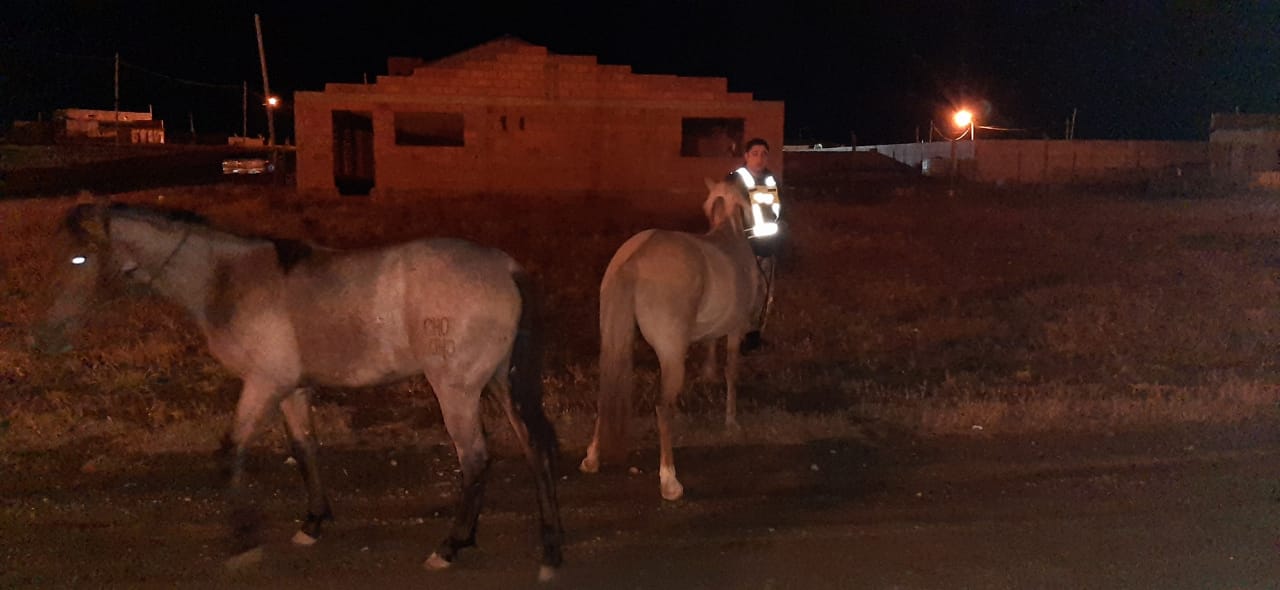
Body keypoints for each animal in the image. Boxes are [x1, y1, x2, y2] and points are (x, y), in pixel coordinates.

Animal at [34, 199, 564, 581]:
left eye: (79, 257)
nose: (42, 338)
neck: (226, 279)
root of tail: (504, 266)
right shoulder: (290, 389)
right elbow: (304, 447)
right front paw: (313, 522)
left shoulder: (263, 383)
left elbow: (231, 451)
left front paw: (243, 540)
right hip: (498, 382)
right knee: (533, 449)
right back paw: (549, 550)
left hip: (455, 391)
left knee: (474, 459)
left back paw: (451, 546)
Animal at [578, 178, 766, 501]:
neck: (729, 234)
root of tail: (635, 259)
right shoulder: (736, 330)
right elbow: (731, 372)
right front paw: (731, 421)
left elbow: (710, 354)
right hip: (671, 351)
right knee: (662, 407)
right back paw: (669, 480)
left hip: (614, 343)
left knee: (607, 391)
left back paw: (592, 457)